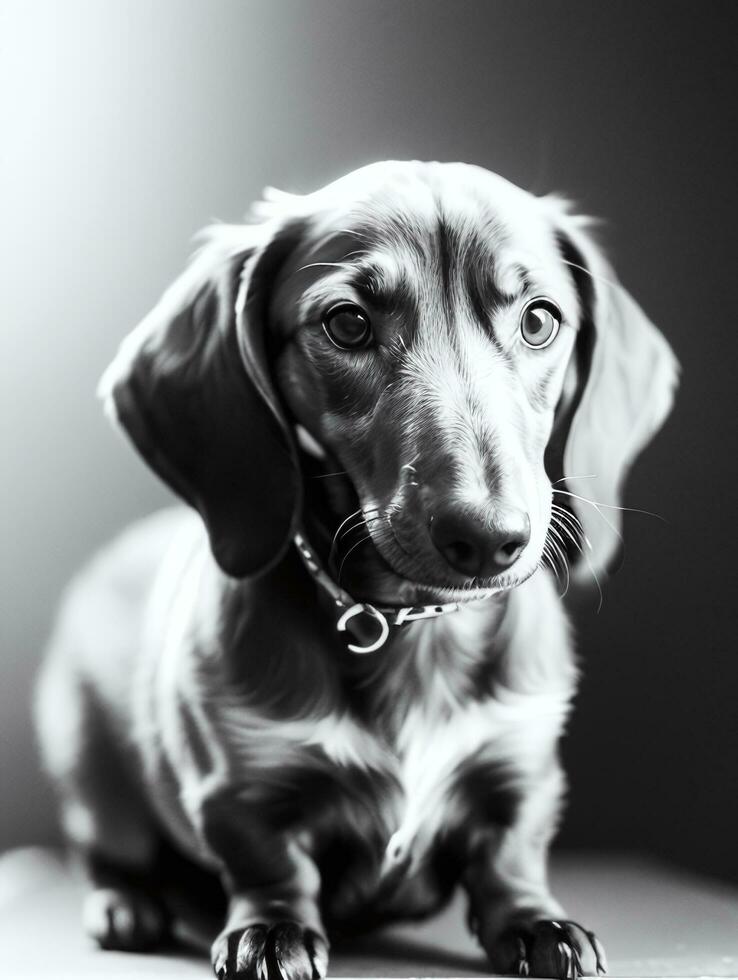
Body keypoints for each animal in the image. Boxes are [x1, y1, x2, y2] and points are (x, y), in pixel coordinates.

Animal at [36, 165, 680, 976]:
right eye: (347, 324)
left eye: (539, 321)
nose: (489, 539)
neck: (414, 623)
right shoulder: (237, 786)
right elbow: (268, 862)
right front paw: (271, 929)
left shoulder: (524, 766)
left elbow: (513, 855)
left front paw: (538, 921)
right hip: (89, 770)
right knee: (104, 851)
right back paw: (125, 904)